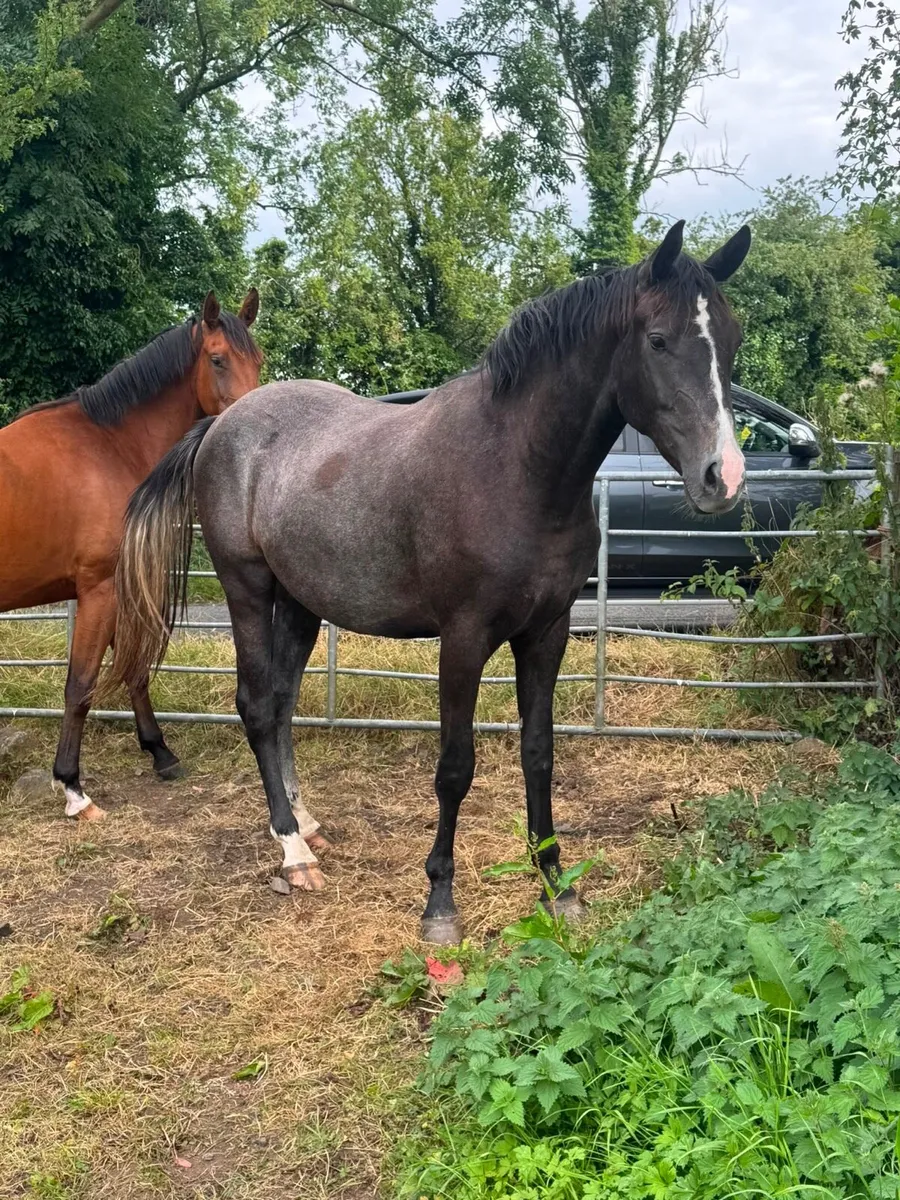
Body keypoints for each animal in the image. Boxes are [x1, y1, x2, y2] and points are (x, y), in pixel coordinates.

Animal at [0, 291, 262, 822]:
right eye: (218, 359)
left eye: (259, 359)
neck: (107, 444)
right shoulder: (100, 590)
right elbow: (80, 686)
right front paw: (73, 788)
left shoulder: (120, 588)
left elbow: (135, 671)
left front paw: (160, 752)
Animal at [104, 221, 751, 942]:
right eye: (659, 340)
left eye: (731, 340)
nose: (723, 477)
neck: (515, 468)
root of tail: (222, 424)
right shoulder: (463, 639)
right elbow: (455, 767)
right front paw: (440, 900)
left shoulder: (548, 632)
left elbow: (539, 752)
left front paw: (556, 884)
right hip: (248, 589)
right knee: (254, 705)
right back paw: (292, 851)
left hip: (299, 603)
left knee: (279, 703)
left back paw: (305, 824)